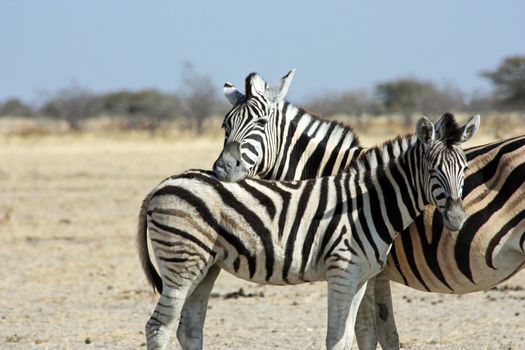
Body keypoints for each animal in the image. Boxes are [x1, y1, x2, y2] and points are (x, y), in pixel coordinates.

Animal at [138, 115, 478, 350]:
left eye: (464, 168)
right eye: (433, 169)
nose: (457, 218)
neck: (371, 202)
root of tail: (162, 184)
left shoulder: (360, 278)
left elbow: (348, 338)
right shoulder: (342, 273)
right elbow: (336, 339)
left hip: (206, 266)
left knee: (188, 328)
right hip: (181, 263)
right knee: (158, 327)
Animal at [212, 69, 524, 348]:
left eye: (261, 122)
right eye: (225, 126)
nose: (222, 168)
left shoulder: (364, 269)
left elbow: (365, 333)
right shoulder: (376, 272)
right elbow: (386, 334)